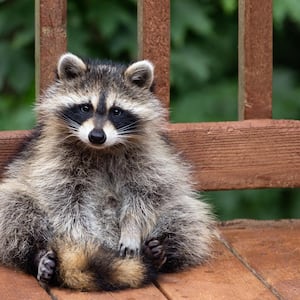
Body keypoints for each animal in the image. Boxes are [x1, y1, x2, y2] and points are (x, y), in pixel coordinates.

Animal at [0, 52, 217, 292]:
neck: (101, 150)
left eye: (116, 111)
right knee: (15, 208)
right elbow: (66, 204)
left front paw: (132, 227)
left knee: (184, 216)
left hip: (176, 211)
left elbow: (147, 193)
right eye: (86, 107)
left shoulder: (150, 157)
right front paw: (82, 242)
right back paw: (39, 257)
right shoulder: (54, 160)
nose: (96, 136)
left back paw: (161, 252)